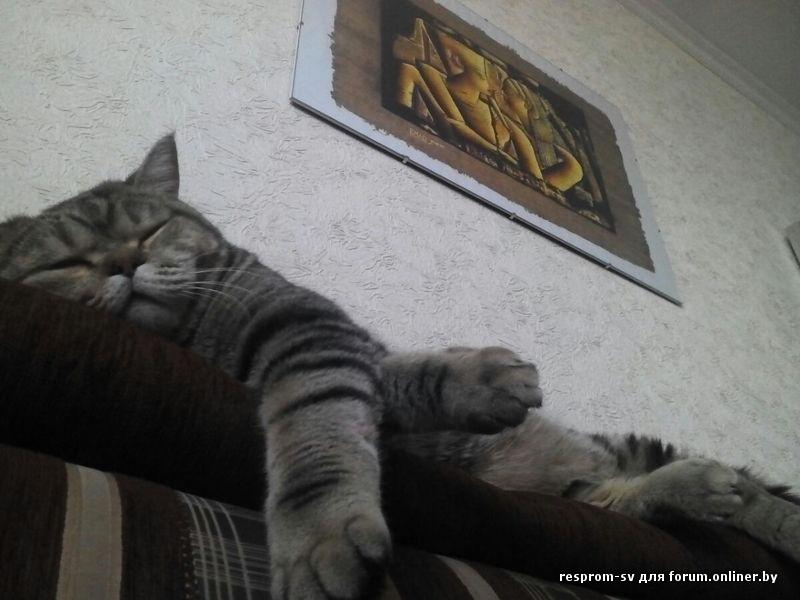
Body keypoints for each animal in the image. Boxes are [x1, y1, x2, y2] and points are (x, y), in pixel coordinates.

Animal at [1, 135, 797, 599]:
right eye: (68, 263)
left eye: (151, 229)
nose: (123, 263)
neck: (196, 335)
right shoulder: (331, 355)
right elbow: (340, 416)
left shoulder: (316, 330)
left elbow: (356, 401)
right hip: (586, 489)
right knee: (625, 497)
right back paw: (698, 489)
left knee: (735, 493)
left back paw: (755, 507)